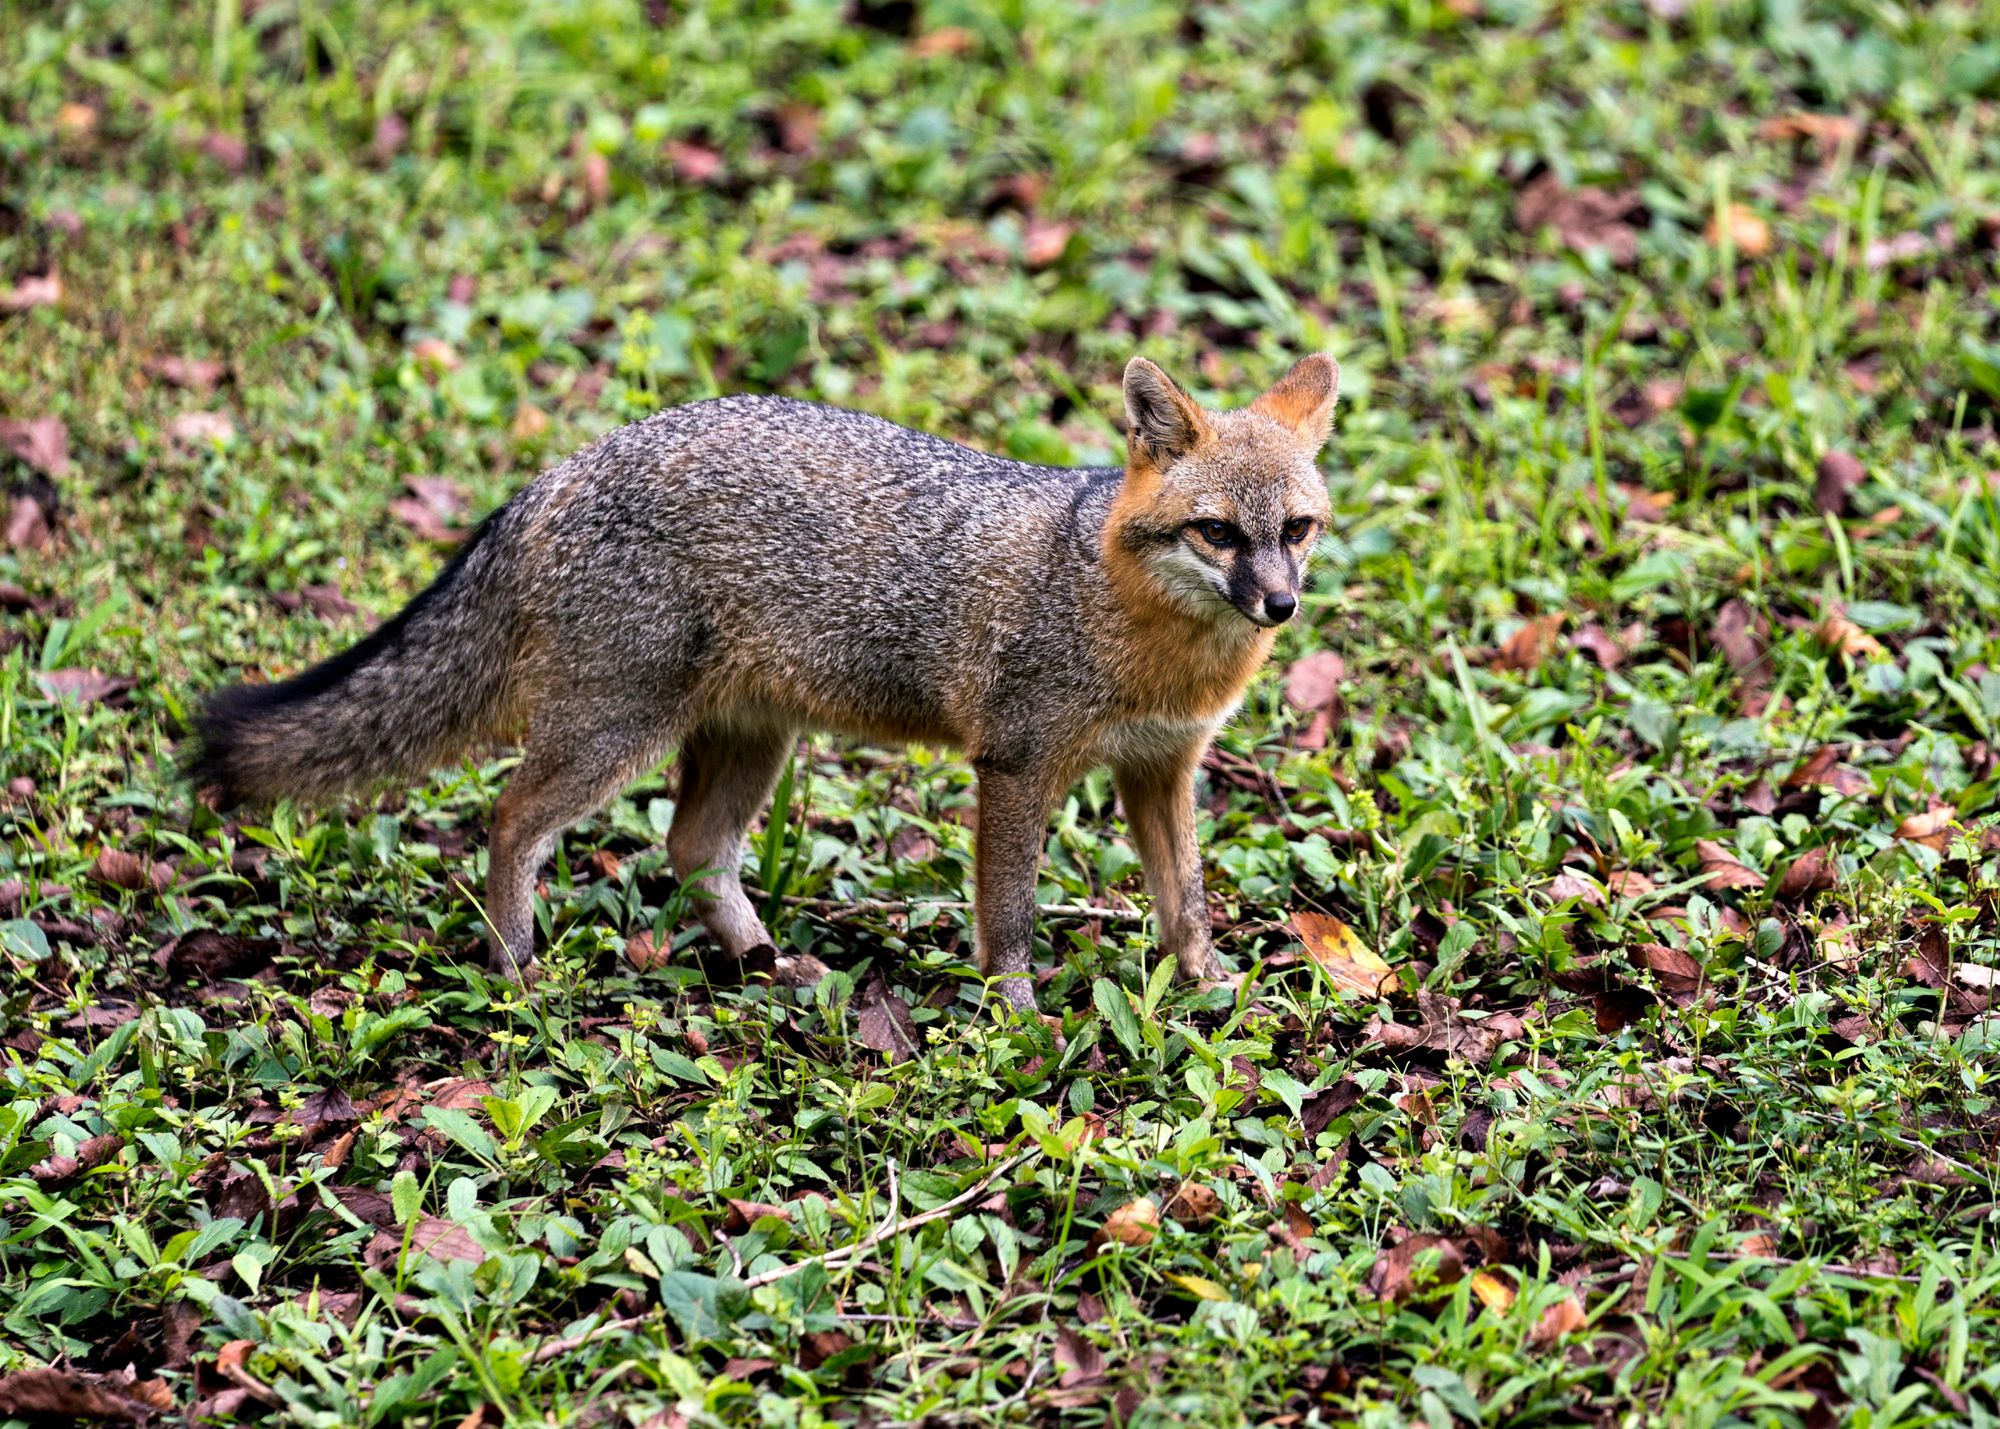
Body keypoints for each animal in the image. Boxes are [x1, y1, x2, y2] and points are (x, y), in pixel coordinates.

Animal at [190, 353, 1338, 1010]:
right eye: (1216, 534)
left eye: (1295, 530)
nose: (1279, 605)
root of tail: (556, 472)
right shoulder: (1016, 763)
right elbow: (1007, 916)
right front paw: (1015, 1018)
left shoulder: (1163, 766)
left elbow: (1186, 903)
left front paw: (1214, 992)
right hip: (616, 734)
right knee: (512, 820)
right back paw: (518, 964)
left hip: (752, 737)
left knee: (692, 846)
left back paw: (763, 962)